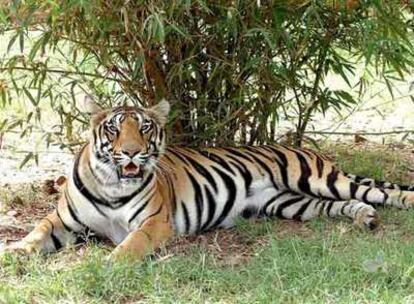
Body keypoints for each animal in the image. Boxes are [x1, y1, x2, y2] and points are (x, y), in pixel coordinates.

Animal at [1, 98, 412, 260]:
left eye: (144, 127)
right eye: (115, 129)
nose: (132, 152)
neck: (112, 184)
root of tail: (309, 150)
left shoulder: (154, 222)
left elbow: (132, 244)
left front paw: (111, 262)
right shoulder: (62, 220)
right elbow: (36, 232)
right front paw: (15, 251)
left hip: (316, 179)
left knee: (375, 191)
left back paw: (394, 205)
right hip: (293, 203)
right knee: (342, 204)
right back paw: (364, 218)